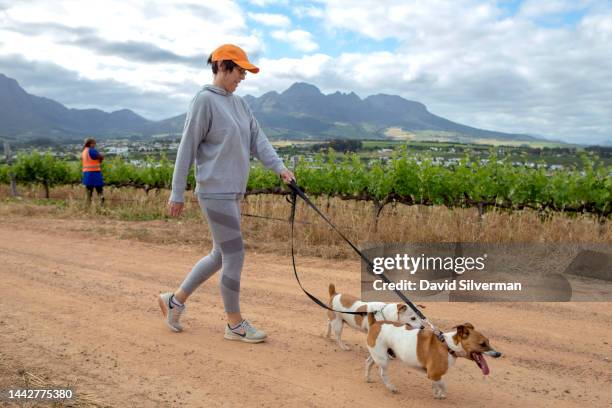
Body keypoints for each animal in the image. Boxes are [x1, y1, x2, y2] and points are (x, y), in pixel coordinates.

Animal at [364, 314, 502, 400]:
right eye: (482, 344)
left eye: (488, 341)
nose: (498, 354)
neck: (448, 345)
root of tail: (375, 323)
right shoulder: (433, 373)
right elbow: (443, 384)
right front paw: (441, 394)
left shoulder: (434, 375)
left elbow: (437, 384)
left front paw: (436, 392)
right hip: (383, 359)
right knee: (382, 373)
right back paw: (391, 387)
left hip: (378, 353)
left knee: (368, 362)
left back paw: (367, 378)